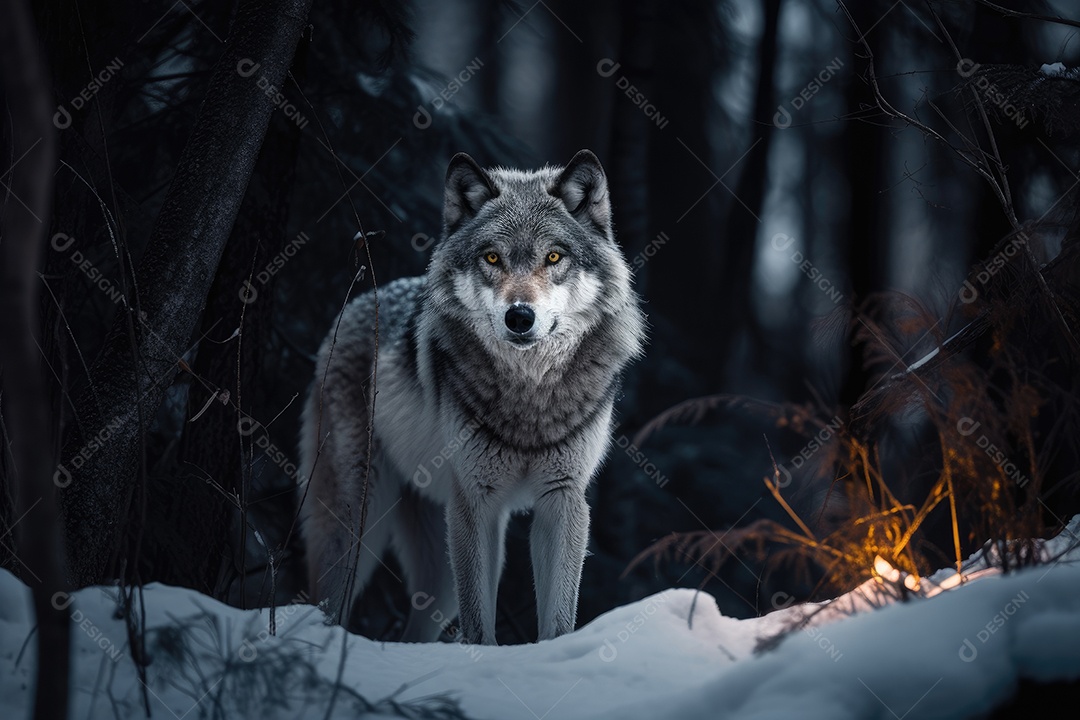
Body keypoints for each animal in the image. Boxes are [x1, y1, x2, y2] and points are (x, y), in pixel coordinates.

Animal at [298, 149, 645, 645]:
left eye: (554, 256)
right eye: (492, 257)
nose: (519, 316)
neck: (528, 393)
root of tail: (357, 304)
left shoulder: (562, 500)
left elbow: (558, 621)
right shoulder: (477, 501)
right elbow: (479, 624)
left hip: (437, 564)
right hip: (358, 525)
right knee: (325, 604)